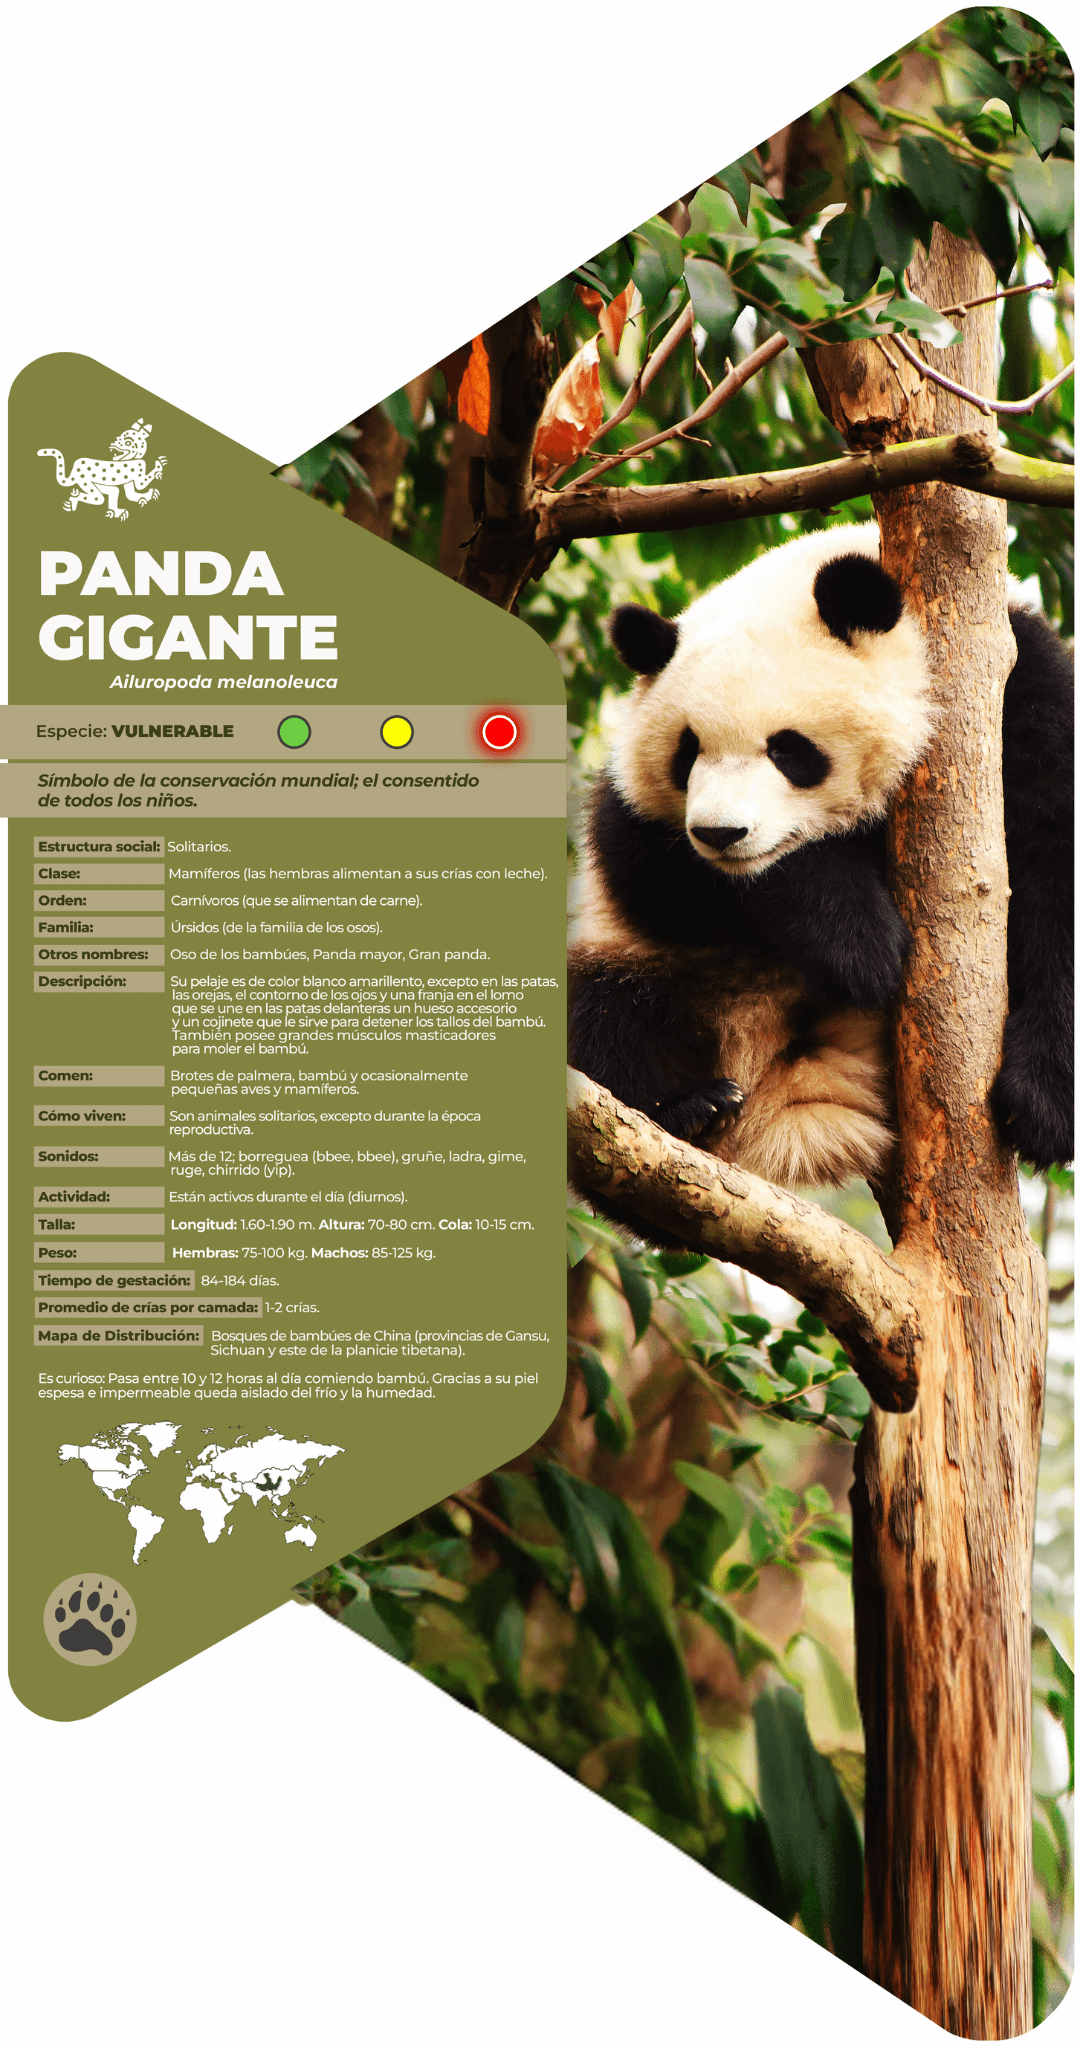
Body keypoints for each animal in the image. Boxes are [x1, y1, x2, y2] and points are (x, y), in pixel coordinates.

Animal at [568, 524, 1073, 1230]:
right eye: (686, 753)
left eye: (789, 749)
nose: (720, 834)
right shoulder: (638, 826)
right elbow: (653, 871)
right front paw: (861, 948)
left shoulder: (1020, 692)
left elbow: (1053, 866)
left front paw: (1044, 1109)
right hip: (646, 966)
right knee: (596, 1017)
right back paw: (688, 1111)